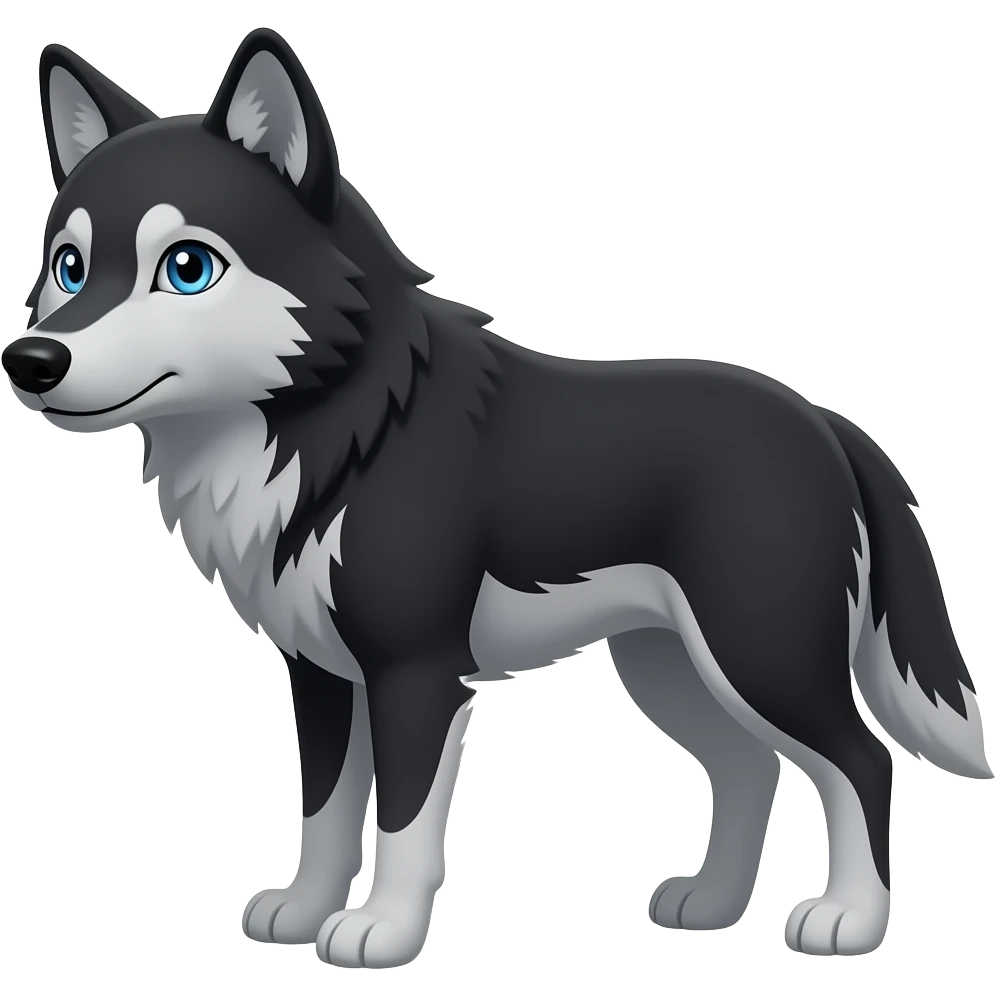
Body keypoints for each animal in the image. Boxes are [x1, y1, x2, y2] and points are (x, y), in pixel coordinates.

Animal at [4, 27, 991, 969]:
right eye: (67, 266)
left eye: (186, 268)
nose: (31, 360)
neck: (339, 426)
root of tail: (825, 420)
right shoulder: (322, 673)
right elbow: (324, 810)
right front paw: (303, 911)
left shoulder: (415, 674)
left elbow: (402, 823)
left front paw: (381, 935)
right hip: (668, 665)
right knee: (751, 766)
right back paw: (710, 906)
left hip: (760, 652)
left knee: (860, 761)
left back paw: (849, 921)